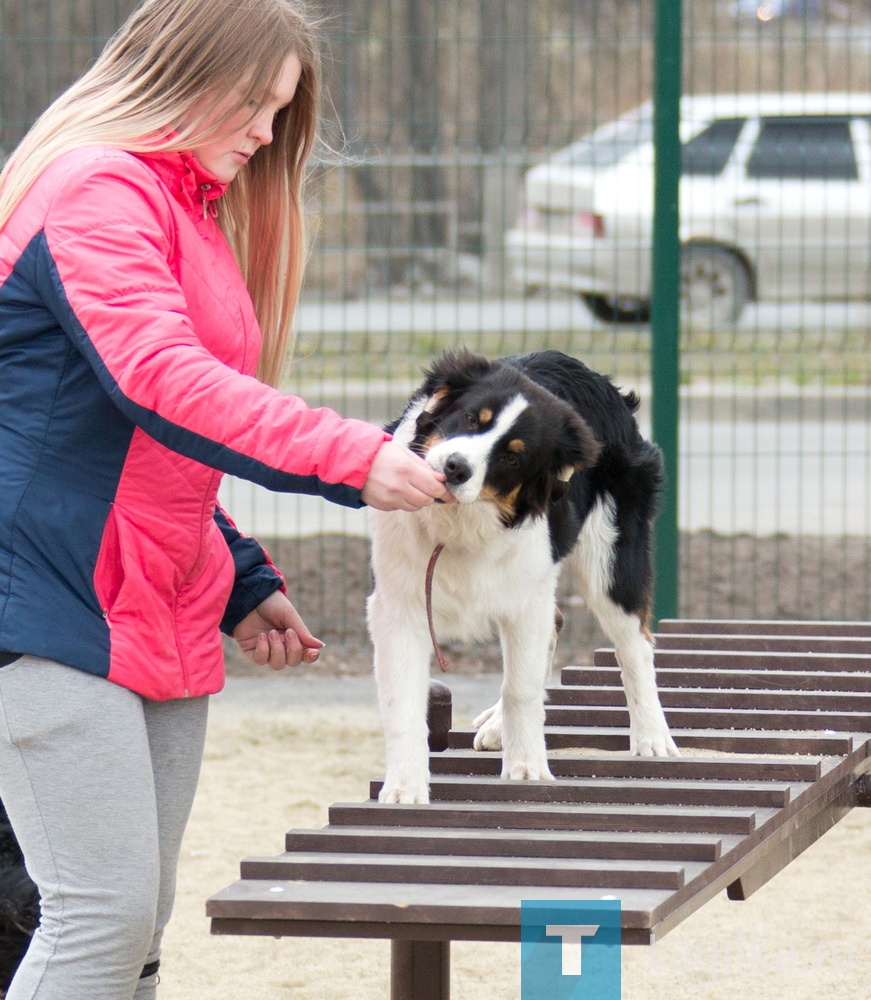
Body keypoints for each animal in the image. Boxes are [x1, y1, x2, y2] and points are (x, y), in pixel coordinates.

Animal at [368, 352, 680, 804]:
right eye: (469, 417)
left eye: (511, 457)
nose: (456, 467)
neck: (461, 522)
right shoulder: (399, 605)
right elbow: (403, 703)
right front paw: (404, 787)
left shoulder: (526, 599)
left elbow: (521, 687)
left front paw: (527, 769)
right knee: (558, 623)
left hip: (611, 562)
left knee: (634, 643)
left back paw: (652, 737)